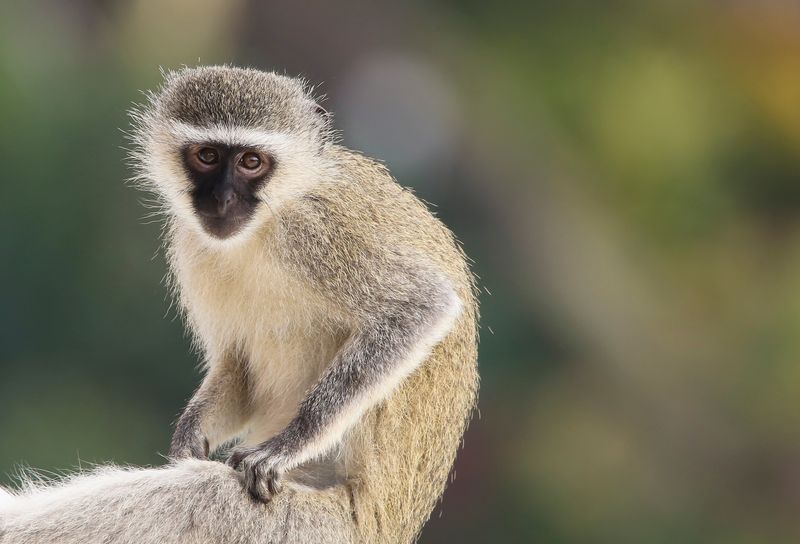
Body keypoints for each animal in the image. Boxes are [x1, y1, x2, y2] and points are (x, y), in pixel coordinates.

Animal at [0, 65, 478, 544]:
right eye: (207, 156)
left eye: (251, 162)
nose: (222, 199)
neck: (266, 222)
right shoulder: (190, 243)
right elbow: (238, 367)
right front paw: (188, 437)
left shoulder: (318, 231)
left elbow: (421, 306)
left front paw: (286, 446)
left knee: (197, 496)